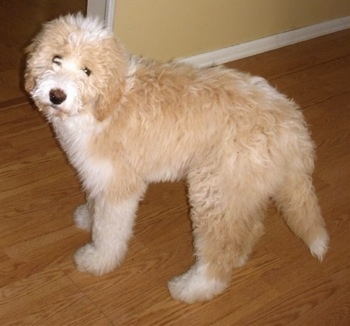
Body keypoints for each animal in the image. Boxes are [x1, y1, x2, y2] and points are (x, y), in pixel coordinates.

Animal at [24, 12, 328, 304]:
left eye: (87, 71)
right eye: (56, 58)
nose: (56, 95)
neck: (107, 102)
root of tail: (291, 122)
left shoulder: (119, 183)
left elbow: (110, 228)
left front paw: (98, 259)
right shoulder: (98, 173)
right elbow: (95, 204)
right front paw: (88, 217)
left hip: (213, 191)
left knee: (218, 251)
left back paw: (192, 288)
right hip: (239, 190)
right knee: (246, 231)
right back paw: (237, 258)